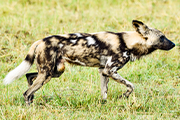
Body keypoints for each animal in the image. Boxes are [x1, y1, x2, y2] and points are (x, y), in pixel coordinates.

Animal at [3, 19, 175, 105]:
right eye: (162, 37)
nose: (174, 44)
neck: (127, 42)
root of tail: (40, 40)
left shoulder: (104, 71)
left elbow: (104, 93)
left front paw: (103, 105)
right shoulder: (110, 70)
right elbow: (131, 86)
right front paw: (125, 95)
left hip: (55, 71)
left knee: (29, 78)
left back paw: (32, 100)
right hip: (48, 74)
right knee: (26, 92)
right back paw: (29, 106)